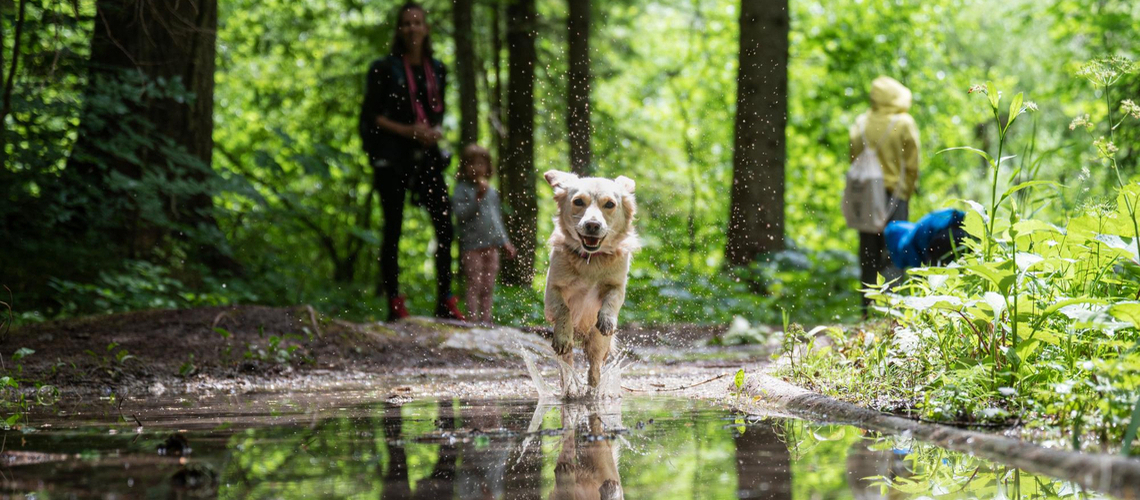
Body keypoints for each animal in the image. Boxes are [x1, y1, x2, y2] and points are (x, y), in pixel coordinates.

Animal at [538, 170, 638, 389]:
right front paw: (563, 334)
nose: (592, 225)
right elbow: (564, 308)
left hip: (597, 343)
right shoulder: (553, 289)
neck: (591, 260)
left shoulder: (616, 285)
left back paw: (593, 388)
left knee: (595, 368)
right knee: (567, 364)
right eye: (578, 201)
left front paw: (607, 319)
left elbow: (612, 300)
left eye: (609, 204)